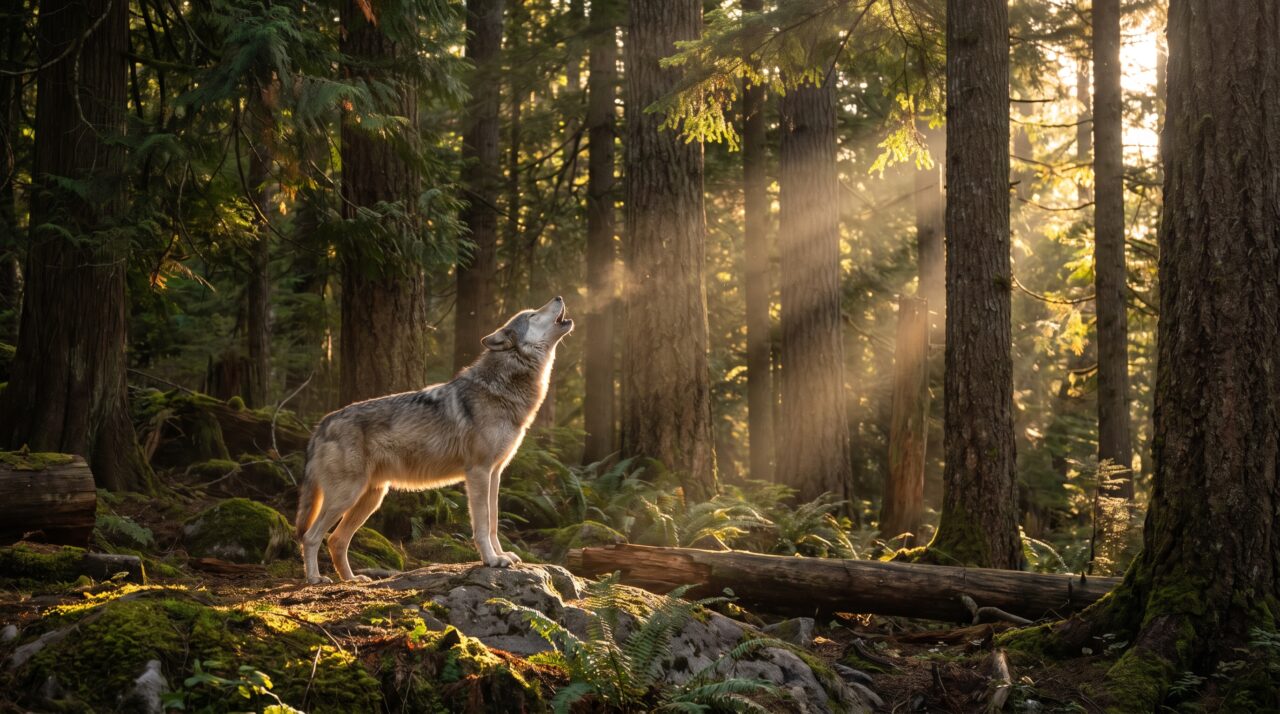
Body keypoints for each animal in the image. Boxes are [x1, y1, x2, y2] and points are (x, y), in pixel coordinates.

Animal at [295, 296, 573, 583]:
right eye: (532, 315)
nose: (559, 297)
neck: (502, 387)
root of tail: (322, 424)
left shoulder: (495, 474)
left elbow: (494, 522)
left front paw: (502, 555)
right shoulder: (478, 472)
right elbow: (483, 523)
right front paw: (491, 560)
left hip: (370, 498)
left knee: (336, 540)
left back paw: (352, 580)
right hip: (347, 495)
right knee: (311, 536)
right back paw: (315, 579)